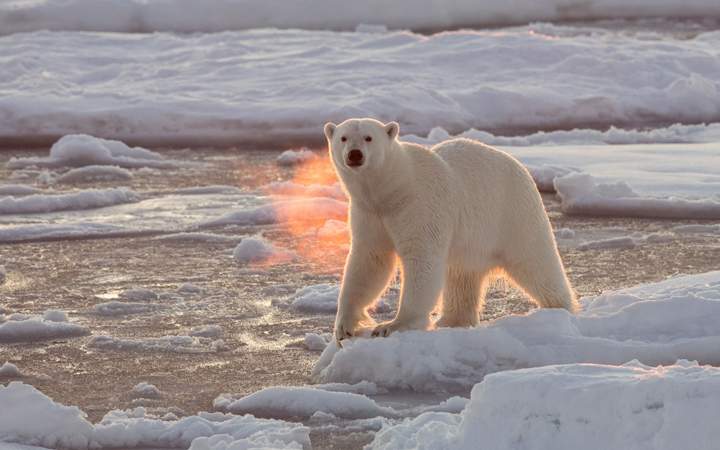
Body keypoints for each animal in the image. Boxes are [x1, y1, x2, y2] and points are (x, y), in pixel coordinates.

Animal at [324, 118, 577, 343]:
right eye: (343, 137)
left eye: (368, 137)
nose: (354, 154)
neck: (392, 190)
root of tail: (520, 166)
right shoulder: (369, 213)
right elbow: (370, 261)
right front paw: (344, 327)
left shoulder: (420, 206)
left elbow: (422, 259)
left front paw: (392, 325)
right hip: (472, 243)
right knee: (461, 277)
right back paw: (452, 320)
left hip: (513, 213)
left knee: (536, 262)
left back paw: (560, 308)